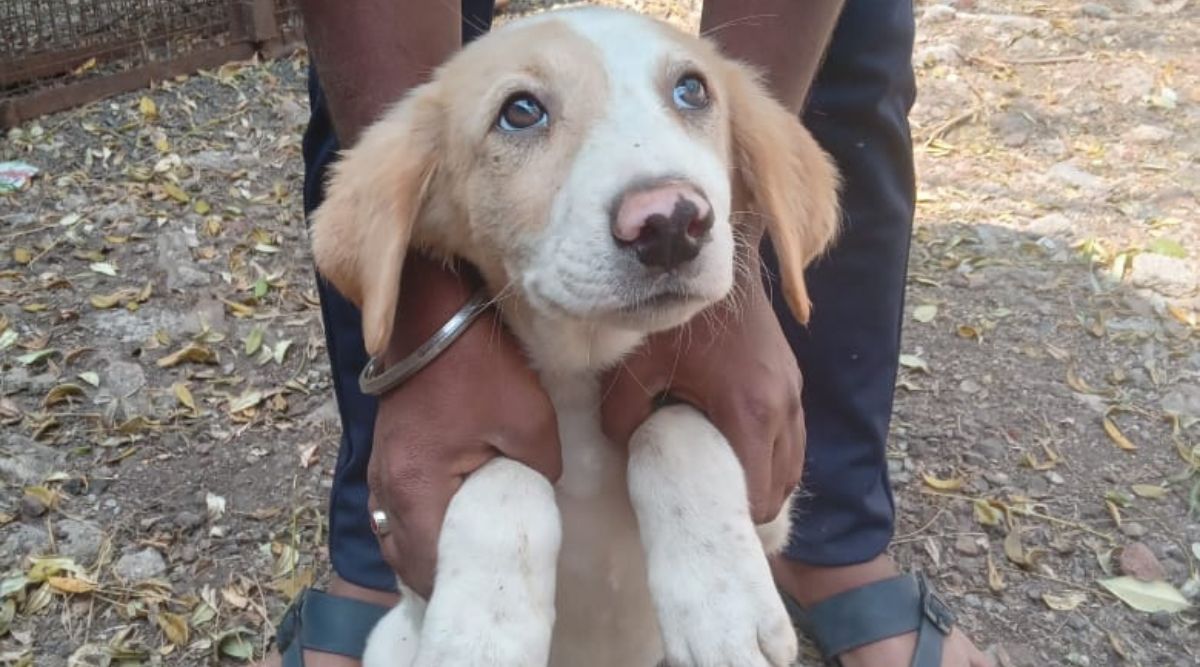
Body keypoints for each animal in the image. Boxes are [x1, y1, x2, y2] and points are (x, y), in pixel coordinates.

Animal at [312, 6, 835, 667]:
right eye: (520, 111)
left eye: (692, 91)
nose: (670, 222)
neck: (583, 368)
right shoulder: (419, 562)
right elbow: (507, 477)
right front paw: (483, 631)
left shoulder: (773, 509)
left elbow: (672, 427)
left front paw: (724, 603)